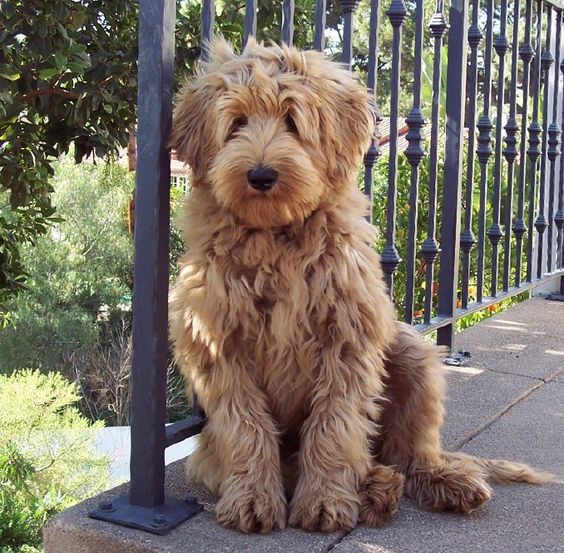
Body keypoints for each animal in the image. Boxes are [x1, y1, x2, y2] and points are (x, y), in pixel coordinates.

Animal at [169, 37, 552, 532]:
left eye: (292, 121)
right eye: (235, 123)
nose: (260, 175)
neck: (276, 239)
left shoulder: (348, 335)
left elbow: (336, 422)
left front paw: (325, 500)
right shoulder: (218, 344)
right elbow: (245, 424)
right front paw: (253, 499)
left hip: (411, 355)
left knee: (408, 452)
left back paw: (432, 482)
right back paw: (375, 488)